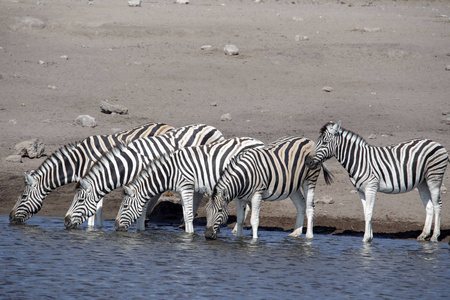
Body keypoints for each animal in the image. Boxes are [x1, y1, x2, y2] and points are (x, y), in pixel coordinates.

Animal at [9, 120, 174, 226]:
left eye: (23, 197)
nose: (10, 218)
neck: (79, 161)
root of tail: (168, 126)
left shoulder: (94, 179)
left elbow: (95, 206)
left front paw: (92, 228)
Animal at [114, 137, 266, 233]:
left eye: (125, 206)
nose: (115, 227)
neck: (170, 171)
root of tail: (260, 143)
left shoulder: (187, 187)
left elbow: (188, 214)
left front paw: (189, 235)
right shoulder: (184, 190)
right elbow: (186, 213)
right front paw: (187, 233)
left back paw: (236, 230)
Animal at [304, 120, 448, 243]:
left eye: (324, 143)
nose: (308, 162)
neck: (359, 160)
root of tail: (437, 143)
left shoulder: (371, 187)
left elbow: (369, 212)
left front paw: (366, 238)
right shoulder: (361, 190)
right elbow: (366, 212)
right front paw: (370, 237)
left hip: (434, 178)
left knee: (438, 205)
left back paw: (435, 236)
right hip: (422, 182)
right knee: (429, 206)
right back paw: (423, 235)